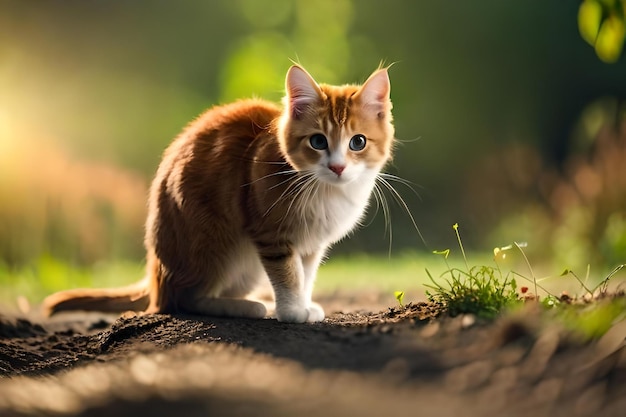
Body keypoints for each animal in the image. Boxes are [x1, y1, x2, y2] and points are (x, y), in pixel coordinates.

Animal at [42, 64, 394, 322]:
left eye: (358, 142)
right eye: (318, 141)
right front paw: (291, 311)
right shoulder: (271, 234)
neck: (322, 189)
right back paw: (249, 307)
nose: (337, 167)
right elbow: (287, 274)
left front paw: (303, 304)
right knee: (185, 299)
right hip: (215, 240)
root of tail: (154, 278)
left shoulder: (311, 244)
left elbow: (304, 275)